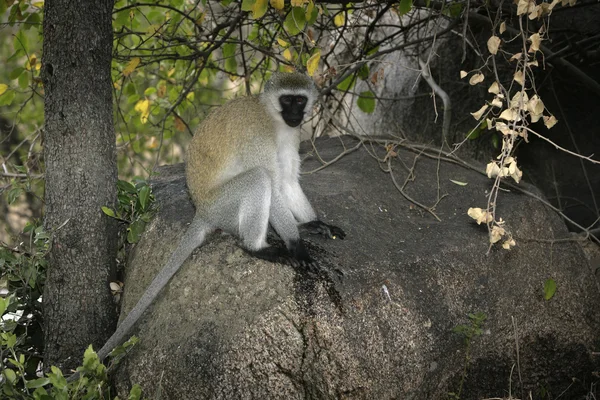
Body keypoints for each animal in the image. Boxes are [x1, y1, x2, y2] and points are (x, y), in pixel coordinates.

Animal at [92, 72, 342, 362]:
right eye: (287, 100)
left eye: (300, 100)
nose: (295, 114)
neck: (273, 118)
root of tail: (201, 210)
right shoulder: (256, 132)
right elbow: (274, 183)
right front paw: (297, 247)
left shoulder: (292, 135)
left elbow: (287, 182)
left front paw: (316, 224)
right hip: (223, 206)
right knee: (259, 178)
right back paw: (257, 248)